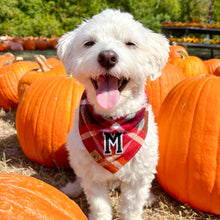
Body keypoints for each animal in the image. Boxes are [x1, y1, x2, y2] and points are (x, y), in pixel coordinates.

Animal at [56, 9, 168, 220]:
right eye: (89, 43)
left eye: (130, 43)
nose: (107, 57)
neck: (113, 122)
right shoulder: (92, 177)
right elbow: (99, 206)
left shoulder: (138, 178)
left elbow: (131, 207)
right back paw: (72, 188)